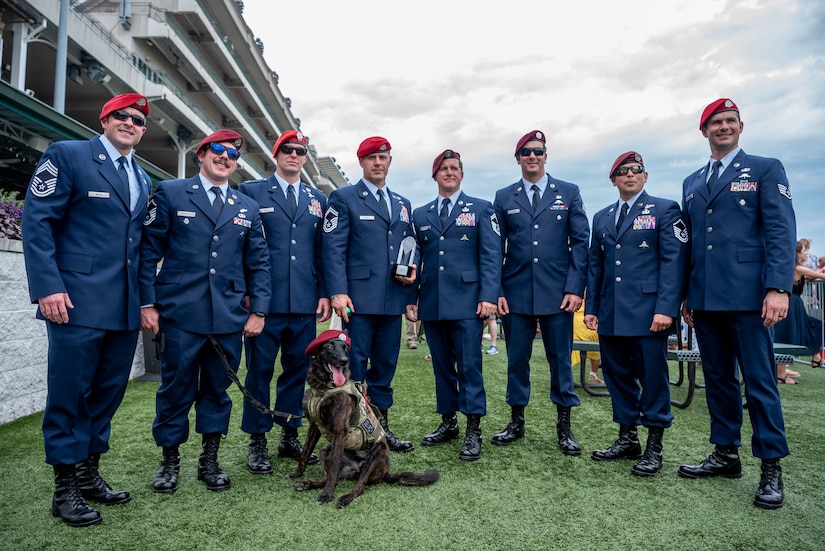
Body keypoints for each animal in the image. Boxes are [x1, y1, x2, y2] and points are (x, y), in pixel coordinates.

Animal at [288, 332, 440, 508]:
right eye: (329, 346)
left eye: (345, 348)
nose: (344, 360)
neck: (323, 387)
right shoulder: (314, 425)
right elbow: (305, 453)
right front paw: (297, 473)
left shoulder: (340, 430)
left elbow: (333, 469)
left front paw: (327, 495)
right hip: (326, 449)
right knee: (329, 477)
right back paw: (307, 484)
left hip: (378, 451)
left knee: (358, 486)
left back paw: (345, 497)